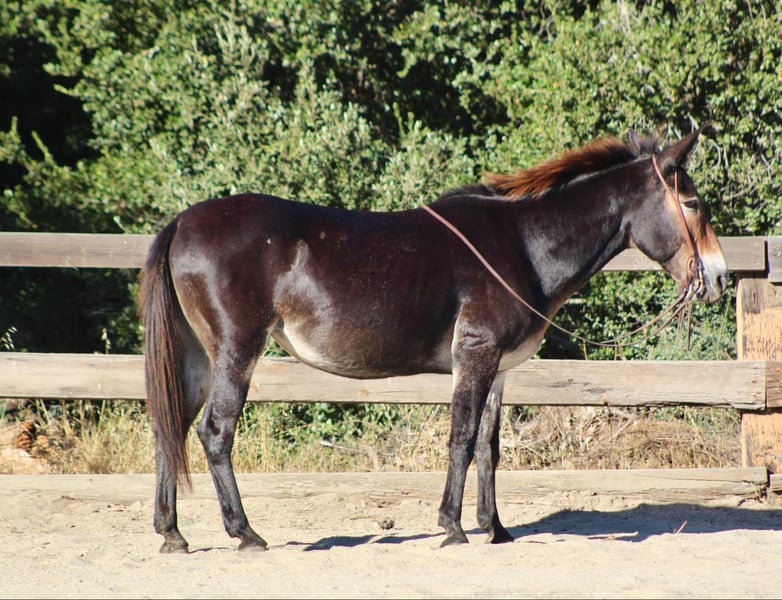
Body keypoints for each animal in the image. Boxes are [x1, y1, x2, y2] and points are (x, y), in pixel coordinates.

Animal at [138, 127, 729, 553]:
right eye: (692, 202)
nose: (720, 278)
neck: (523, 243)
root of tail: (183, 222)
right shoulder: (476, 354)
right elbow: (462, 440)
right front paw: (453, 527)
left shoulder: (500, 368)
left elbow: (489, 447)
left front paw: (496, 529)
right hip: (235, 351)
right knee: (215, 433)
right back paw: (245, 534)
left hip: (196, 356)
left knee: (170, 427)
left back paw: (172, 535)